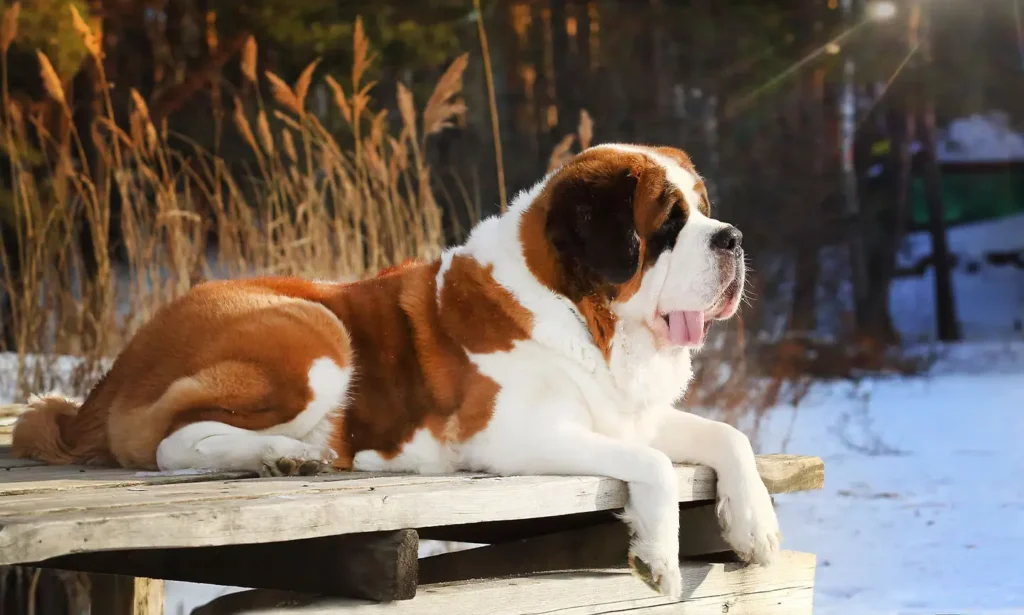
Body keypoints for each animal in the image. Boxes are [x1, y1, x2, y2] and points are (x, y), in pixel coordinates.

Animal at [12, 142, 778, 593]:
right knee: (171, 444)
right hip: (316, 333)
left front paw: (756, 526)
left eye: (704, 210)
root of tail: (111, 372)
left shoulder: (627, 413)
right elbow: (652, 465)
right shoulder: (511, 437)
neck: (582, 313)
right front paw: (659, 553)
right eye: (669, 223)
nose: (736, 238)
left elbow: (727, 435)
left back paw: (291, 456)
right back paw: (280, 455)